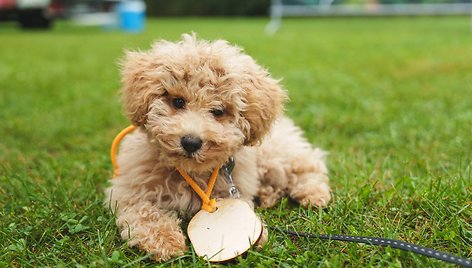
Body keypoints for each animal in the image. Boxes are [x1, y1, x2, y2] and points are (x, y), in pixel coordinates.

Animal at [104, 33, 330, 262]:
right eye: (178, 102)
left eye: (218, 111)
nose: (191, 142)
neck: (190, 171)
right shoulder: (129, 192)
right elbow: (144, 212)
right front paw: (165, 240)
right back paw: (268, 195)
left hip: (275, 155)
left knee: (307, 165)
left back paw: (313, 194)